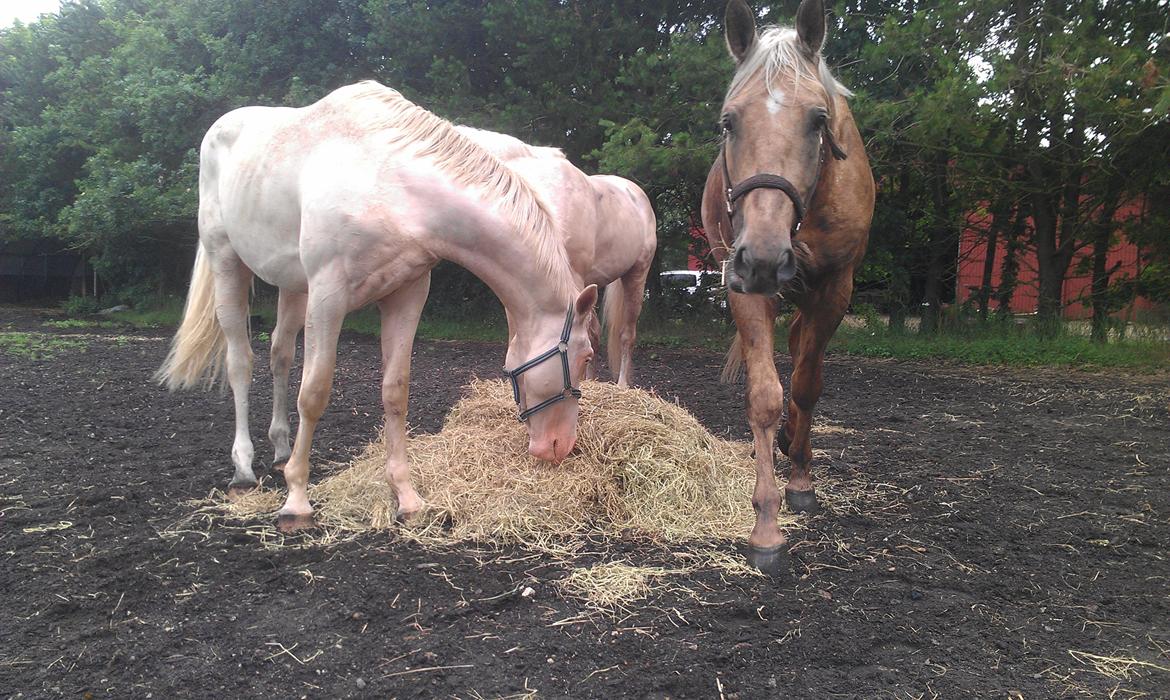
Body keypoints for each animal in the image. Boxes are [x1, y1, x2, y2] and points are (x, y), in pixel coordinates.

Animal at [154, 80, 594, 531]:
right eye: (587, 357)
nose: (560, 447)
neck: (392, 184)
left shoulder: (406, 295)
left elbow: (395, 391)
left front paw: (407, 497)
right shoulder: (328, 295)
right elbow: (314, 391)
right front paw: (297, 501)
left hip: (292, 287)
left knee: (280, 354)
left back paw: (280, 451)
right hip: (227, 262)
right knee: (240, 362)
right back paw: (243, 469)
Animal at [697, 0, 875, 575]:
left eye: (818, 120)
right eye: (728, 122)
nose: (764, 258)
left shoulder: (833, 291)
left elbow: (806, 385)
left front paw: (800, 481)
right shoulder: (746, 289)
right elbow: (766, 397)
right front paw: (766, 525)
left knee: (801, 357)